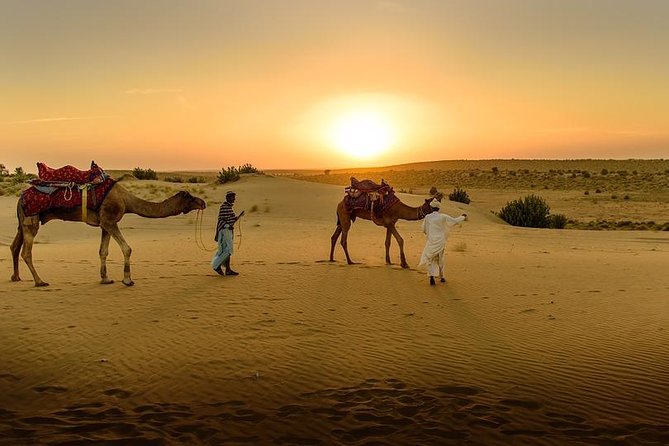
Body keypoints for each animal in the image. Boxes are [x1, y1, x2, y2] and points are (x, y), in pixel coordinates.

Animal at [10, 183, 206, 287]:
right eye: (190, 197)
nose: (203, 202)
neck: (126, 201)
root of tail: (20, 198)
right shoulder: (110, 221)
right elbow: (127, 248)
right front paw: (127, 280)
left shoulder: (105, 224)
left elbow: (103, 251)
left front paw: (105, 278)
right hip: (31, 220)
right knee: (26, 251)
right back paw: (39, 281)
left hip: (23, 222)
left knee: (14, 247)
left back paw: (16, 277)